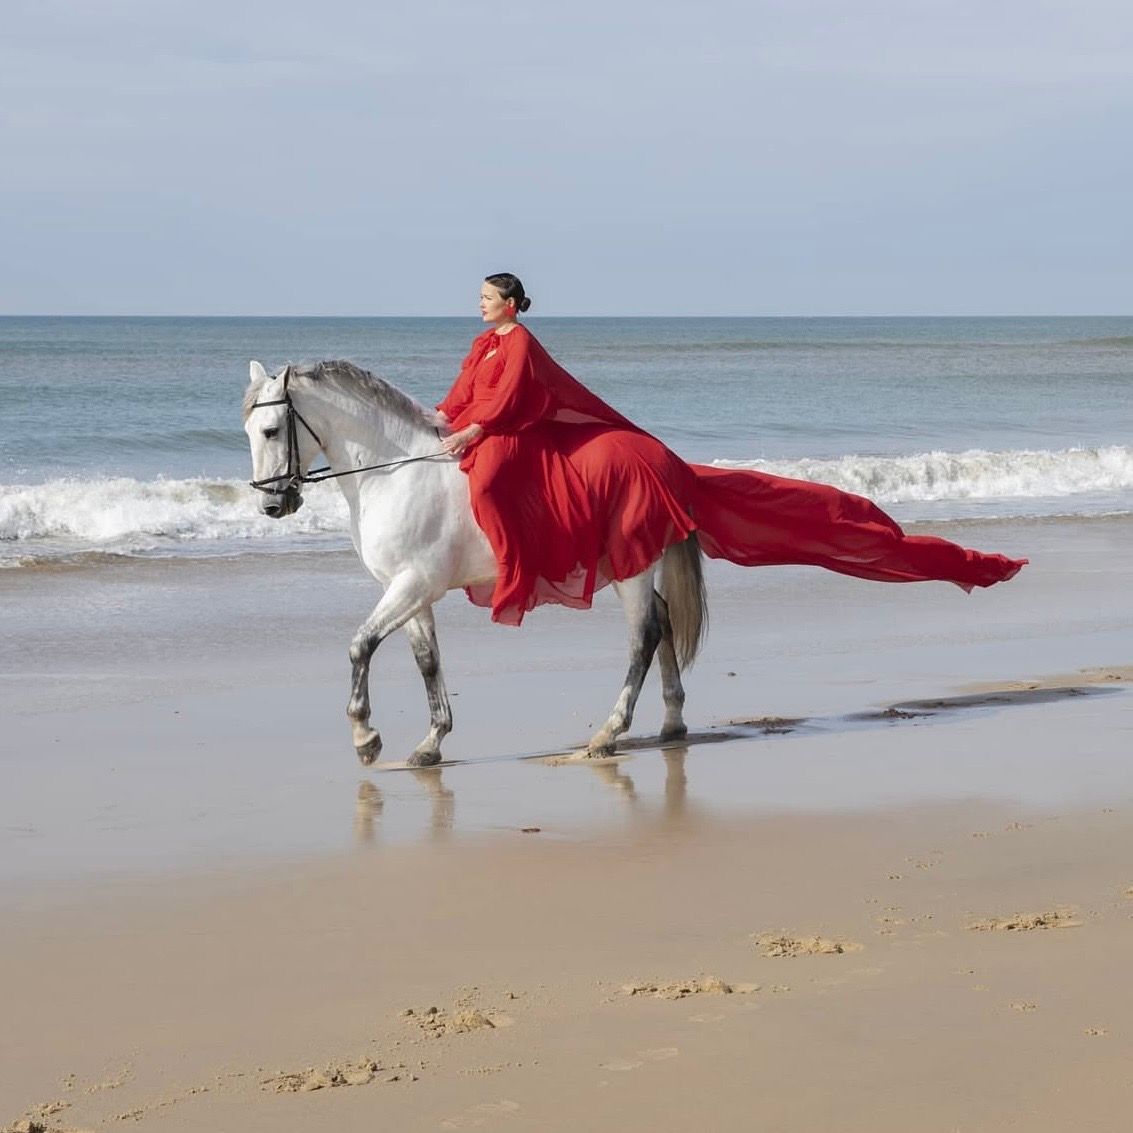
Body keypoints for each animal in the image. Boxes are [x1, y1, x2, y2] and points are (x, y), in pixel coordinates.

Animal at [242, 360, 705, 767]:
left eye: (271, 430)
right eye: (247, 432)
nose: (271, 506)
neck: (393, 473)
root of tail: (661, 457)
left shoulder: (413, 584)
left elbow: (361, 645)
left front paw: (365, 737)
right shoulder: (407, 590)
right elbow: (427, 660)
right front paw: (431, 743)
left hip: (632, 570)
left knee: (643, 637)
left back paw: (608, 734)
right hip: (627, 564)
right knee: (662, 620)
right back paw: (673, 720)